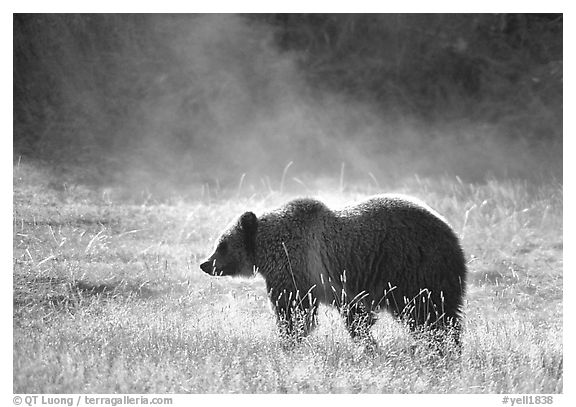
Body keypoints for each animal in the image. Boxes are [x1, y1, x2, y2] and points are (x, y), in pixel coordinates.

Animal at [200, 196, 466, 346]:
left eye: (221, 244)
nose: (205, 264)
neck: (269, 250)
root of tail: (452, 233)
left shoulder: (296, 270)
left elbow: (295, 311)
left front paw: (288, 340)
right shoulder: (338, 287)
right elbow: (356, 316)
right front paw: (367, 343)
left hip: (414, 268)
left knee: (430, 314)